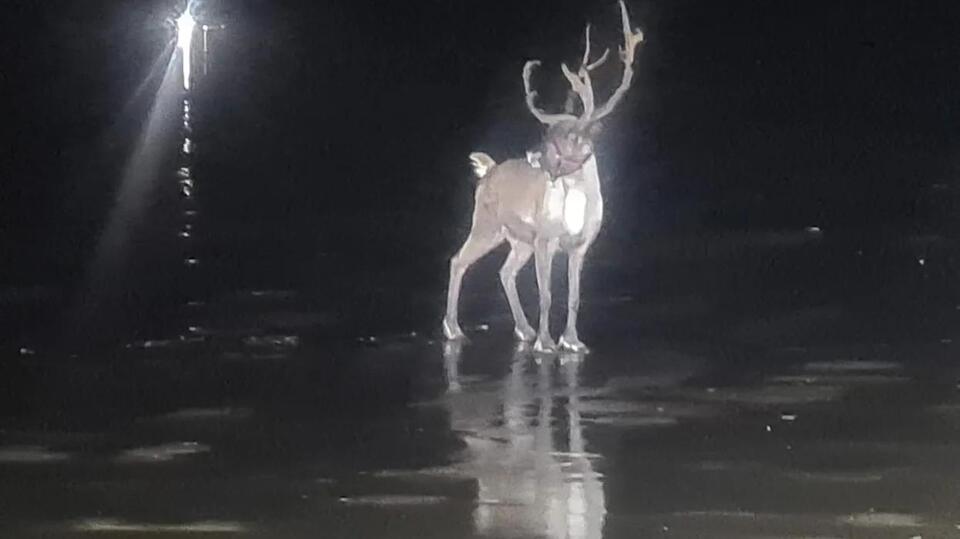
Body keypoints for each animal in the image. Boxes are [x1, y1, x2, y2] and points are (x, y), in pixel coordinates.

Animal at [443, 0, 643, 353]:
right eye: (548, 132)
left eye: (569, 137)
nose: (533, 154)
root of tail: (488, 170)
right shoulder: (545, 240)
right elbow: (547, 294)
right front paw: (547, 342)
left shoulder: (580, 246)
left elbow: (575, 297)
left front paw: (573, 341)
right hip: (487, 224)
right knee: (458, 260)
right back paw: (454, 329)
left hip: (517, 239)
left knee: (504, 272)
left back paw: (523, 330)